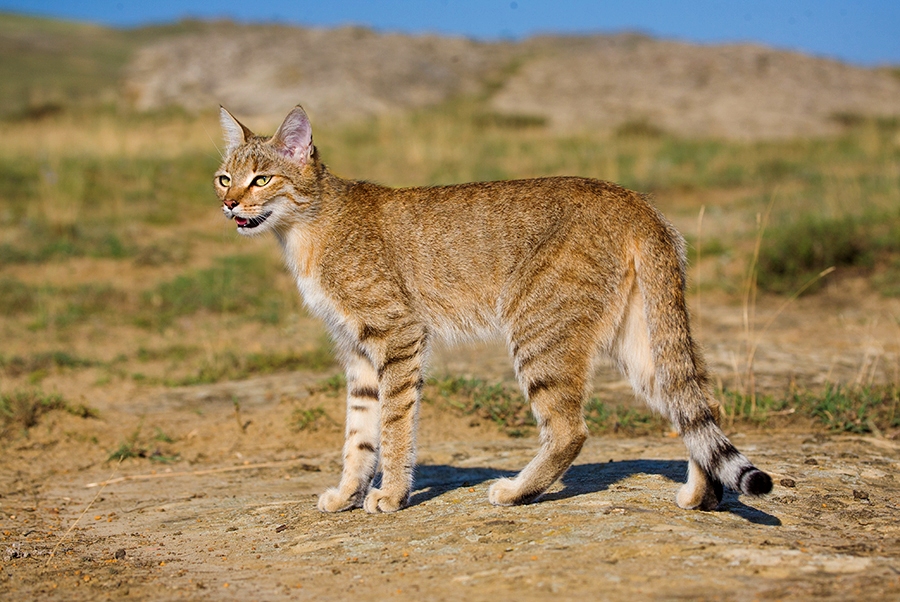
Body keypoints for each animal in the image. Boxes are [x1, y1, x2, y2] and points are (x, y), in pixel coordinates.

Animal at [213, 103, 772, 510]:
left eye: (261, 179)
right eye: (224, 177)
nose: (229, 203)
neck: (307, 228)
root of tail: (636, 200)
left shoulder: (398, 333)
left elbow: (393, 426)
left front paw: (390, 495)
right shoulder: (356, 351)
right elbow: (359, 435)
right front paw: (348, 494)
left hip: (536, 329)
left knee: (571, 430)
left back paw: (516, 491)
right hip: (637, 343)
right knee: (693, 406)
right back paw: (701, 496)